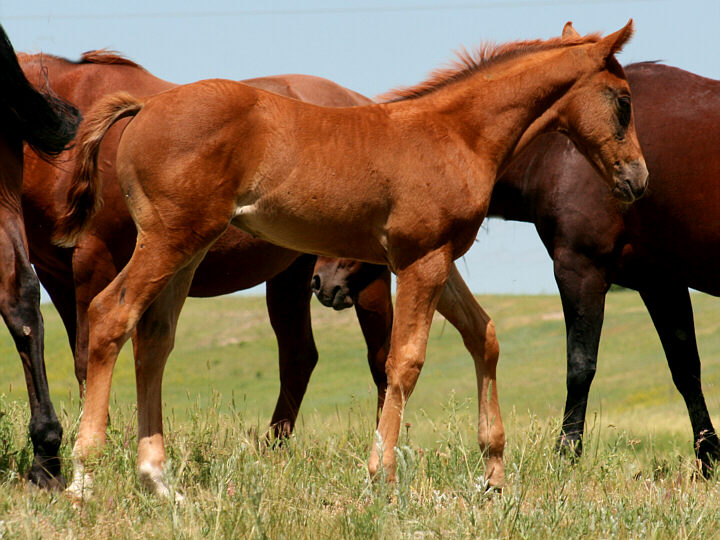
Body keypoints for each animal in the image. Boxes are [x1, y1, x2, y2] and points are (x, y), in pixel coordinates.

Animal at [19, 50, 391, 440]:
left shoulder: (94, 259)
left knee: (380, 359)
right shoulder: (56, 276)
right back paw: (273, 446)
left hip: (368, 277)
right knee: (299, 357)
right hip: (292, 273)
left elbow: (89, 351)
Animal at [57, 21, 647, 498]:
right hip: (168, 239)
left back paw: (158, 481)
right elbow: (404, 362)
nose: (638, 179)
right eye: (623, 101)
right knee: (110, 315)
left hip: (189, 248)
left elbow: (484, 336)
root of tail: (145, 107)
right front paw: (380, 476)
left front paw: (493, 475)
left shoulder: (439, 259)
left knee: (154, 339)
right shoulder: (420, 261)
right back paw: (84, 478)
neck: (457, 134)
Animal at [313, 61, 720, 475]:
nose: (319, 280)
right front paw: (708, 459)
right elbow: (686, 369)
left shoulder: (580, 269)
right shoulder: (660, 282)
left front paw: (566, 454)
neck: (564, 149)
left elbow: (580, 366)